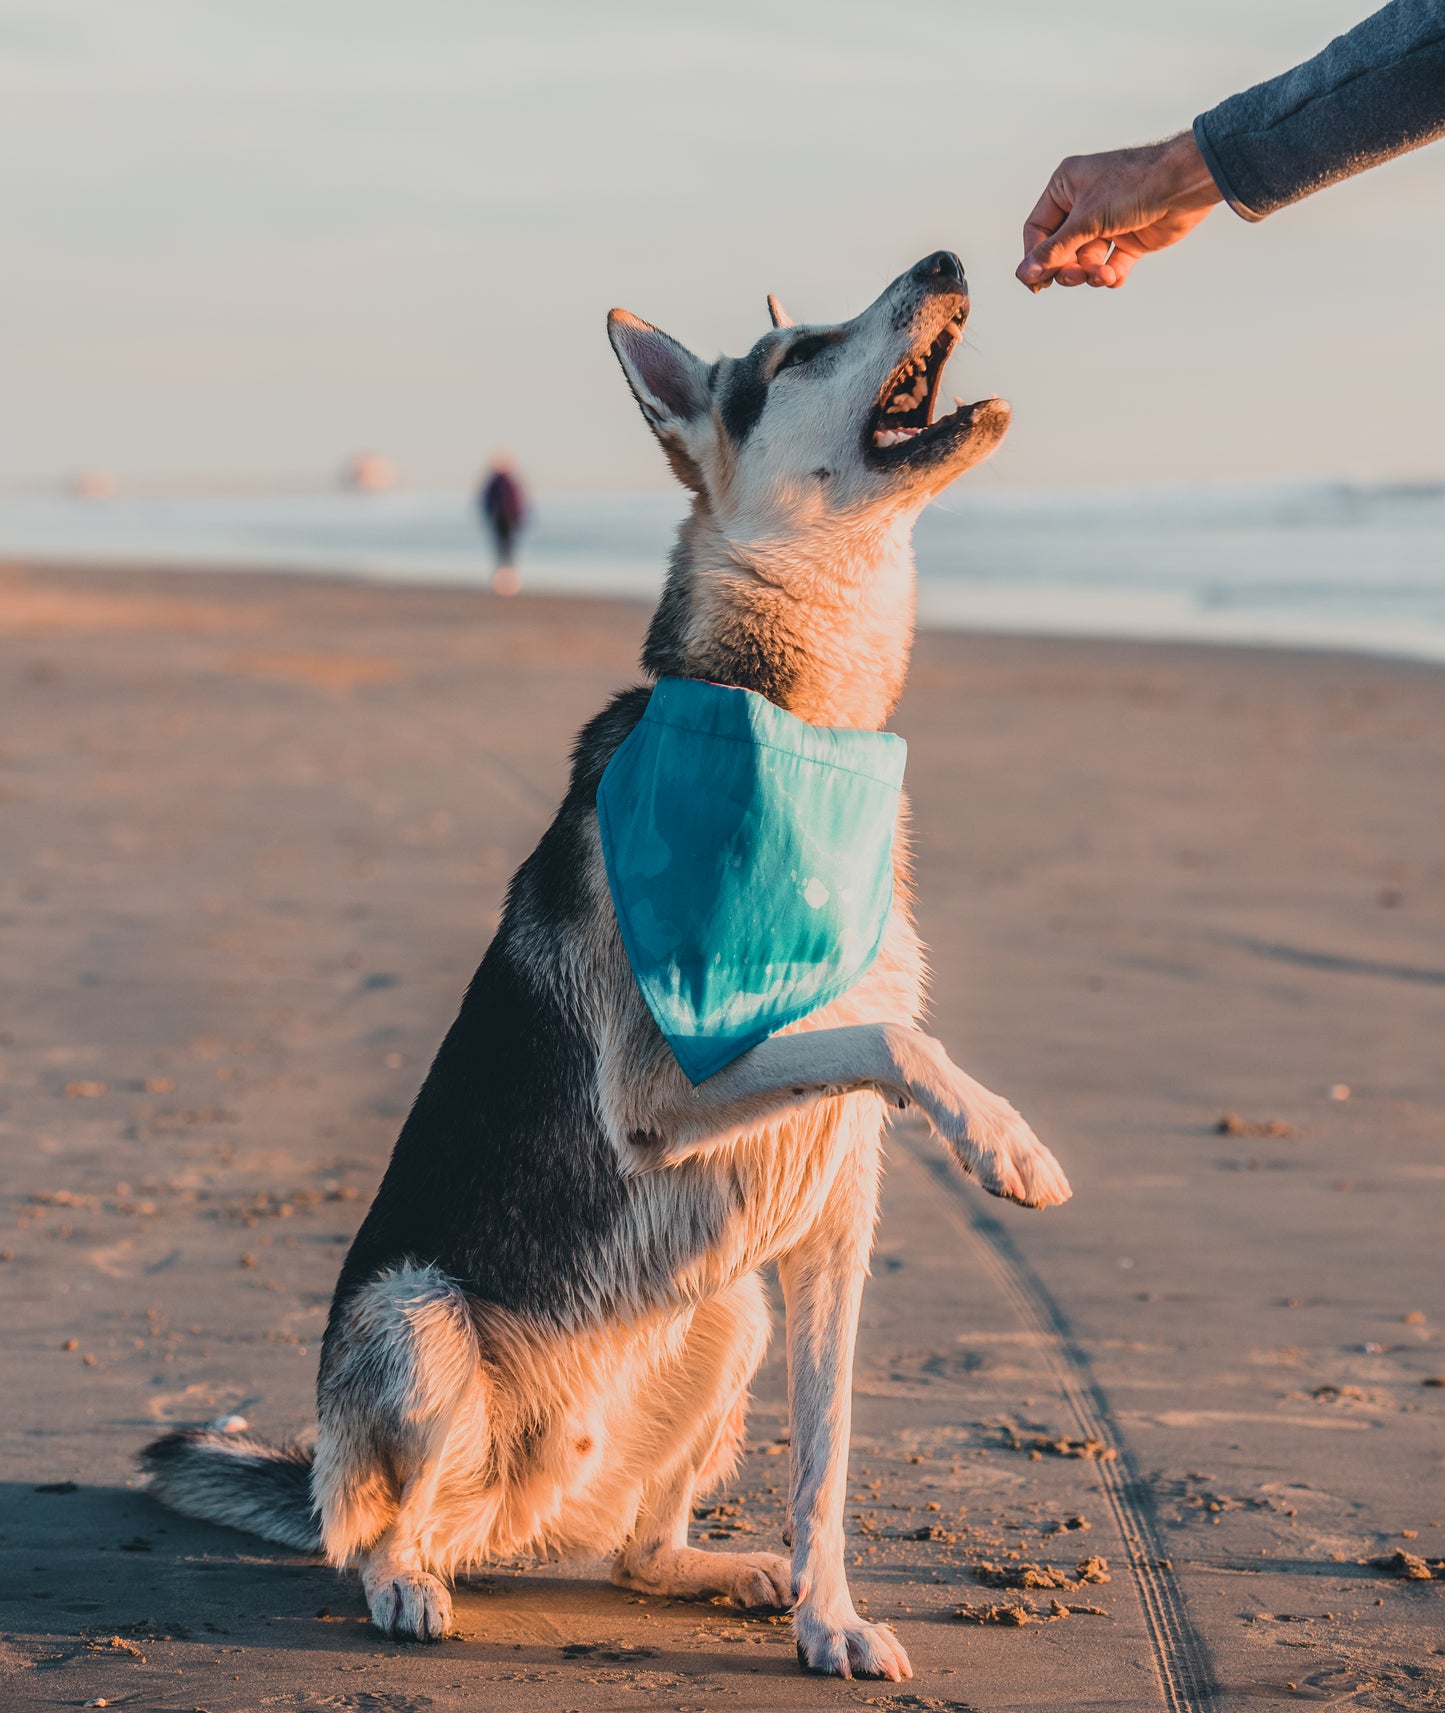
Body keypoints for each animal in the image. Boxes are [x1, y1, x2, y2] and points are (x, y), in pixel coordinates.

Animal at [143, 253, 1075, 1685]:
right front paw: (1004, 1139)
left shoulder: (832, 1231)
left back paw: (723, 1569)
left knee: (632, 1547)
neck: (798, 729)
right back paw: (408, 1587)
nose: (944, 262)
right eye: (800, 351)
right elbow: (891, 1037)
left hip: (732, 1314)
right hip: (416, 1323)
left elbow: (825, 1461)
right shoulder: (666, 1083)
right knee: (373, 1535)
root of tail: (514, 1514)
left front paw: (829, 1617)